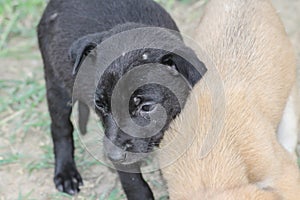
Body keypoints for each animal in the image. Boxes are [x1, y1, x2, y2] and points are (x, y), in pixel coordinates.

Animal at [37, 0, 206, 198]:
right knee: (60, 128)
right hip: (56, 85)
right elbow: (134, 183)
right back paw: (66, 173)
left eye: (146, 107)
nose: (113, 156)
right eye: (100, 105)